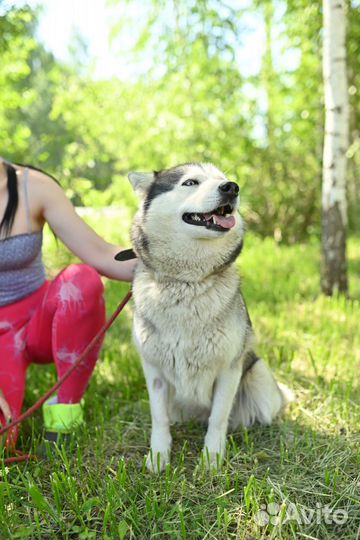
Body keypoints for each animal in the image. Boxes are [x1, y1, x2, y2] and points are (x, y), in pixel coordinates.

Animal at [122, 162, 288, 470]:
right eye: (190, 182)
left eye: (224, 180)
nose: (232, 187)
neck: (187, 283)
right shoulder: (154, 370)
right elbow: (159, 418)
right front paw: (158, 457)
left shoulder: (228, 369)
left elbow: (218, 419)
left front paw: (211, 459)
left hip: (258, 373)